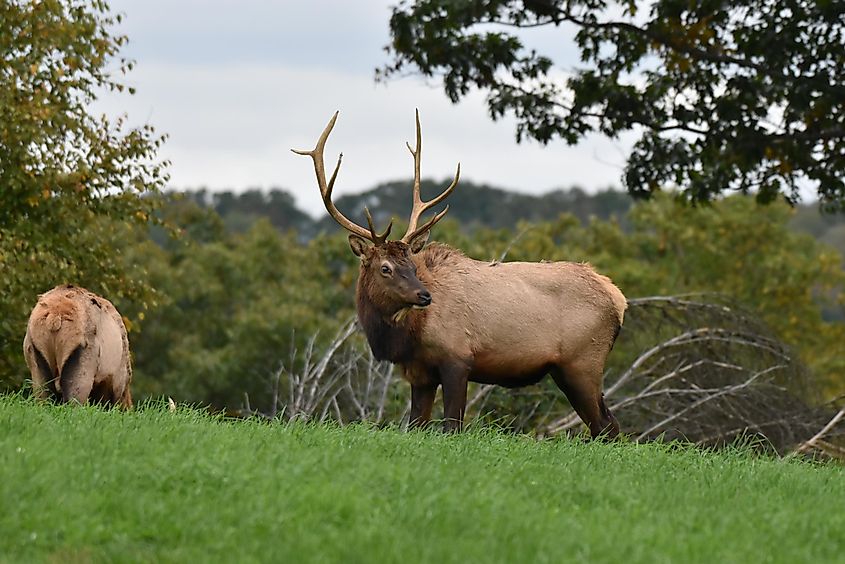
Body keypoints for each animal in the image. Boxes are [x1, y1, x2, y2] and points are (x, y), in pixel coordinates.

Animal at [294, 110, 624, 436]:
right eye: (385, 268)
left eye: (411, 265)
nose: (424, 296)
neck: (407, 337)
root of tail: (618, 299)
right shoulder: (420, 374)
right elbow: (414, 426)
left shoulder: (458, 358)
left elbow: (452, 426)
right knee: (608, 425)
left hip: (582, 362)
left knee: (607, 427)